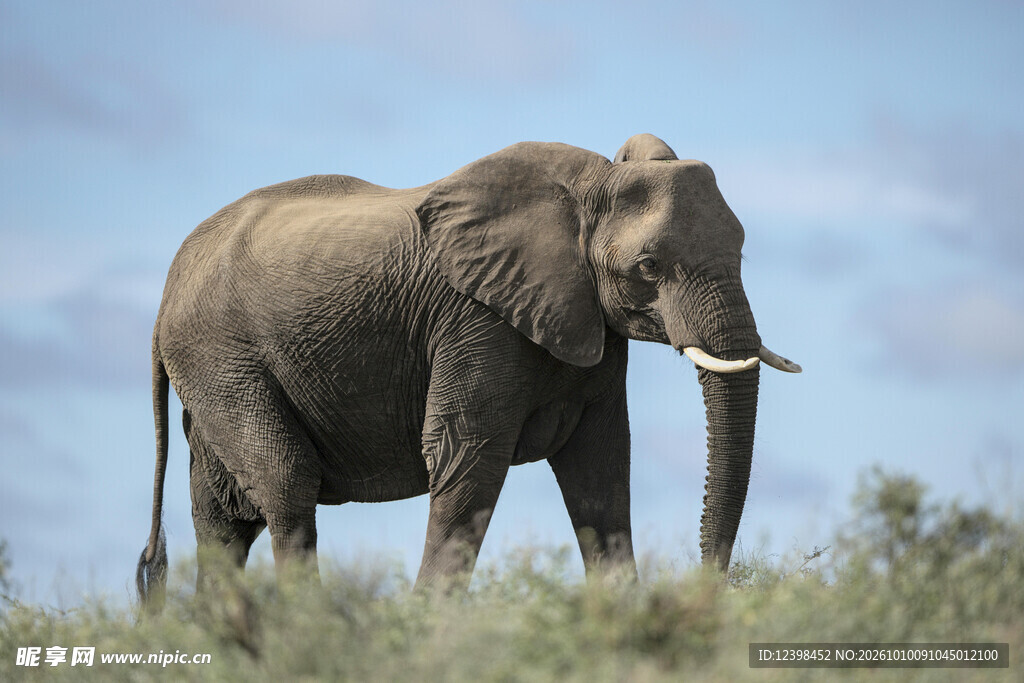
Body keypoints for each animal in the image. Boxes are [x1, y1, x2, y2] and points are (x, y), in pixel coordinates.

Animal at [136, 134, 800, 605]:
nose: (706, 588)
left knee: (222, 517)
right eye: (650, 266)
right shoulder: (475, 317)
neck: (591, 184)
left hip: (215, 369)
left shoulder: (591, 327)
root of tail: (166, 293)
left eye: (742, 250)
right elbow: (467, 453)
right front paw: (425, 626)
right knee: (286, 485)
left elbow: (601, 465)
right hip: (223, 357)